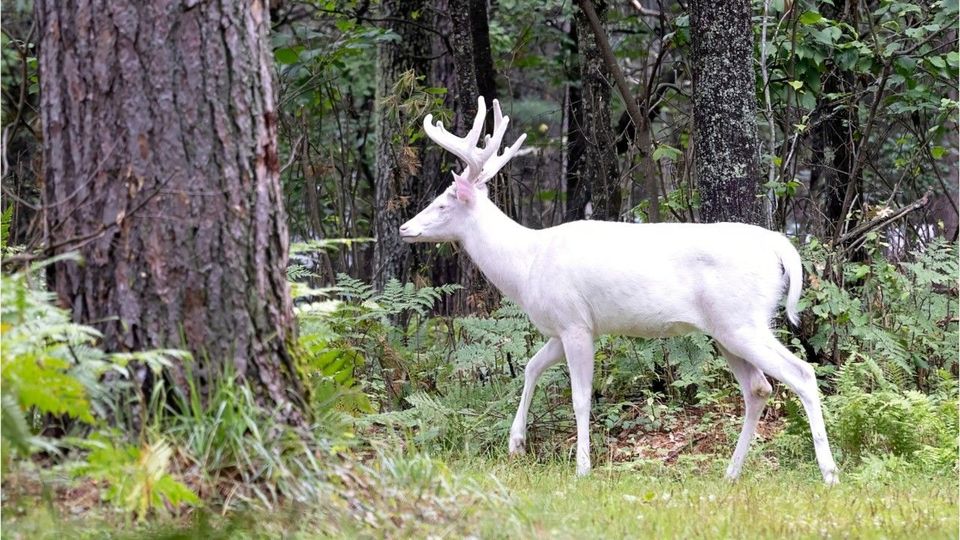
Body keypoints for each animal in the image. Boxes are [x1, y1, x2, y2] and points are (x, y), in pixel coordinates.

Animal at [399, 97, 839, 484]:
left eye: (442, 204)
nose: (405, 227)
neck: (526, 266)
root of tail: (780, 246)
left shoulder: (574, 323)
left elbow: (580, 396)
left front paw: (582, 468)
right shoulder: (566, 327)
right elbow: (531, 366)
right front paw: (516, 443)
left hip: (742, 319)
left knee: (801, 373)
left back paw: (829, 474)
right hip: (728, 329)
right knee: (758, 388)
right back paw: (730, 474)